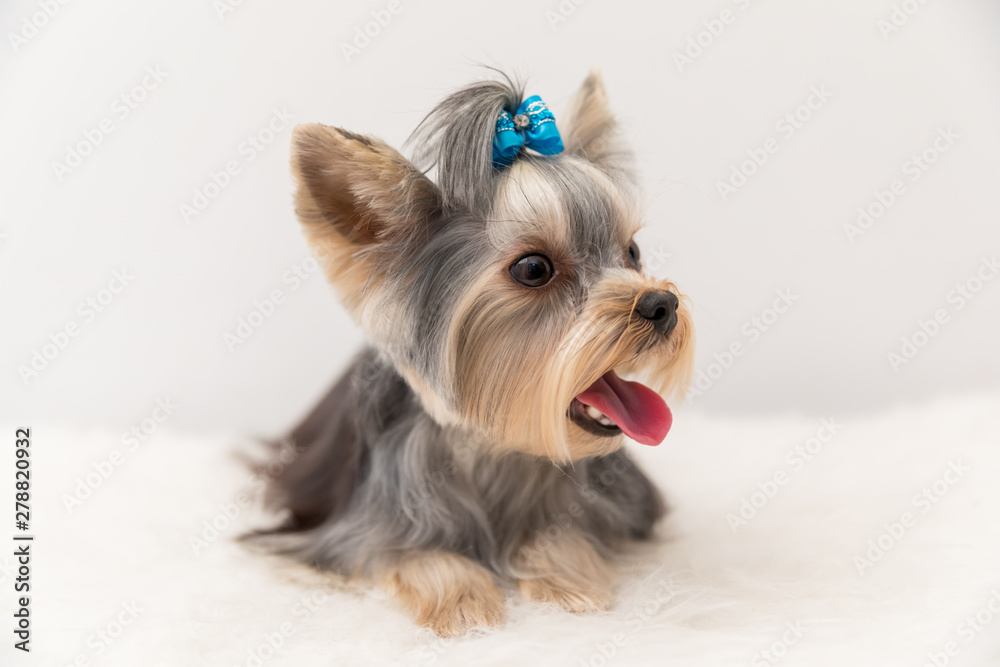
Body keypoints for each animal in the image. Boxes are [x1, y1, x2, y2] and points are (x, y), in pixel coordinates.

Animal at [256, 72, 696, 636]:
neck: (492, 447)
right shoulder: (354, 532)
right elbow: (409, 552)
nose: (662, 304)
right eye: (533, 269)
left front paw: (566, 581)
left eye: (633, 252)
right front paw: (464, 604)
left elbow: (563, 535)